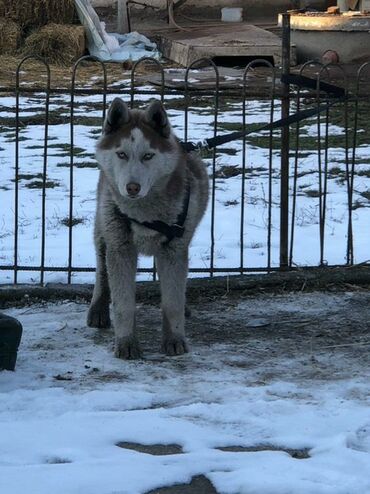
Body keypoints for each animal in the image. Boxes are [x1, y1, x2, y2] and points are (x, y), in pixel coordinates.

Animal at [86, 97, 208, 358]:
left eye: (149, 156)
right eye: (121, 153)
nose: (132, 187)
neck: (145, 214)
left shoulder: (174, 249)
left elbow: (172, 301)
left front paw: (174, 339)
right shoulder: (120, 248)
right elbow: (123, 303)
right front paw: (126, 342)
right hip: (103, 232)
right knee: (102, 271)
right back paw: (98, 309)